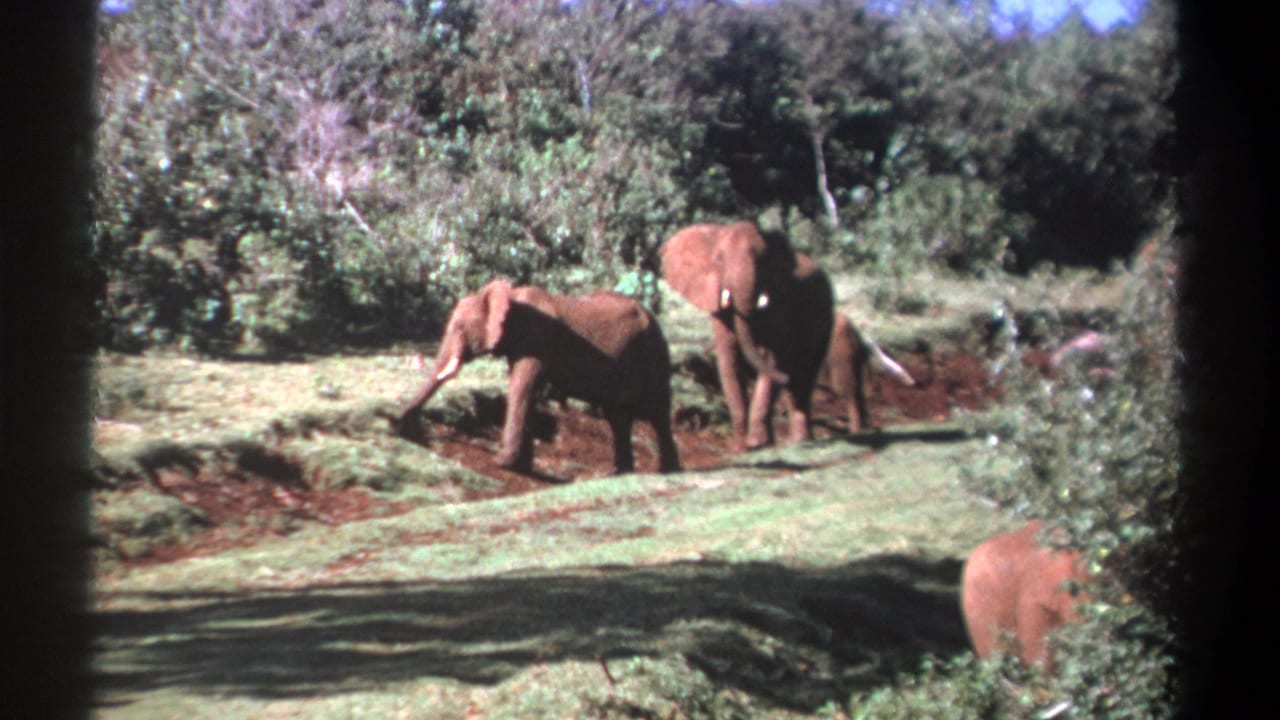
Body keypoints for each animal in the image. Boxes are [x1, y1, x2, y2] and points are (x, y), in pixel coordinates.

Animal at [394, 279, 681, 475]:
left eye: (460, 327)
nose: (398, 426)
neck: (510, 297)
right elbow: (528, 392)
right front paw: (522, 465)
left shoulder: (536, 338)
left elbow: (522, 386)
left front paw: (502, 463)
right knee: (618, 416)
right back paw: (619, 473)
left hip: (654, 351)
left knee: (657, 411)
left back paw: (668, 472)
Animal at [660, 221, 834, 450]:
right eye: (719, 259)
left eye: (762, 261)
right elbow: (729, 360)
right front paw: (741, 448)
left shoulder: (780, 301)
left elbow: (772, 357)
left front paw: (757, 443)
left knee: (804, 376)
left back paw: (800, 441)